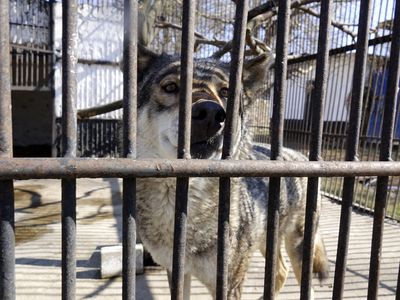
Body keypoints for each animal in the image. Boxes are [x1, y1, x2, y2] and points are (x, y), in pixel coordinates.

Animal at [134, 46, 328, 298]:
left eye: (226, 92)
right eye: (171, 87)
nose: (210, 113)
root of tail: (302, 155)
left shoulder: (229, 283)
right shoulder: (177, 271)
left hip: (297, 247)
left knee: (305, 284)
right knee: (280, 272)